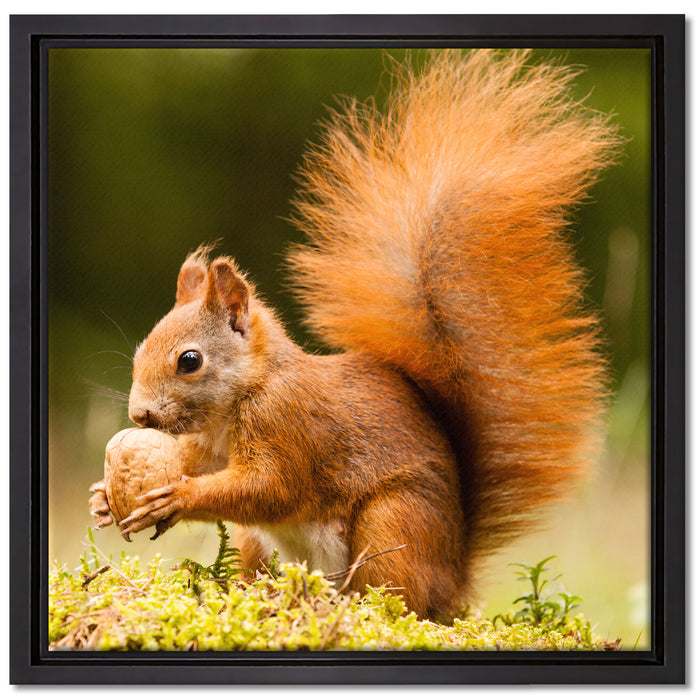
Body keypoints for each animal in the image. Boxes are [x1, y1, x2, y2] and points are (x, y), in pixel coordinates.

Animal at [89, 49, 621, 620]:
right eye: (141, 350)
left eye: (189, 361)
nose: (139, 415)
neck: (242, 397)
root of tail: (454, 580)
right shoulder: (210, 447)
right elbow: (199, 465)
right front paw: (103, 496)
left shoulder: (288, 425)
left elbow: (270, 488)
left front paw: (178, 497)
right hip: (263, 543)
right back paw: (261, 594)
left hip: (393, 521)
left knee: (395, 596)